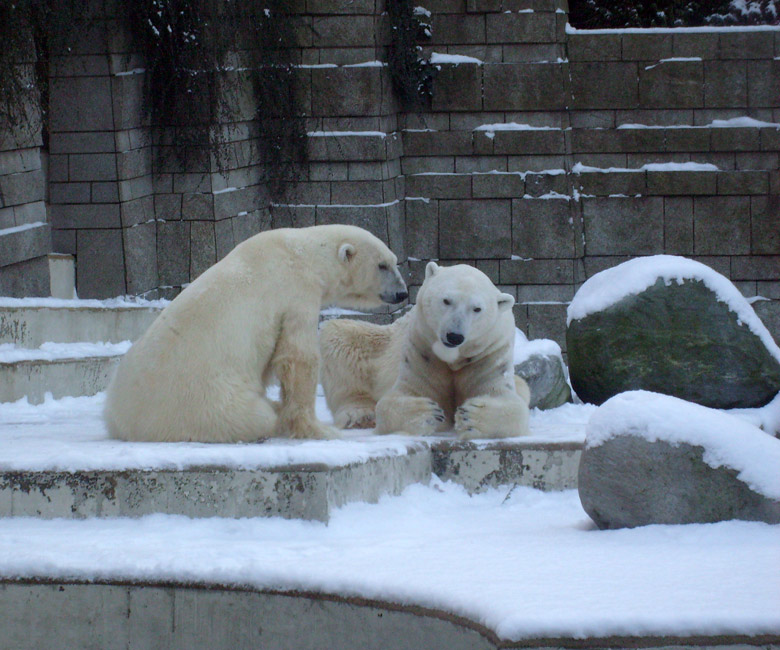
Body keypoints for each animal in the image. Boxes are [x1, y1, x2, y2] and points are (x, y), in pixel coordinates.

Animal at [105, 223, 408, 440]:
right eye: (382, 265)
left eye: (394, 261)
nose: (402, 293)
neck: (301, 252)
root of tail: (130, 426)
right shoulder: (296, 291)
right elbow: (297, 358)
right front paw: (317, 429)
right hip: (205, 402)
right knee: (253, 416)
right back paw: (274, 415)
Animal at [318, 258, 532, 436]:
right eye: (446, 300)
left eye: (477, 309)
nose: (454, 336)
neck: (452, 357)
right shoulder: (422, 351)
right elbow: (394, 400)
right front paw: (428, 412)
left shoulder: (489, 353)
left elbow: (511, 404)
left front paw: (470, 416)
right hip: (377, 341)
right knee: (337, 336)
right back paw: (361, 415)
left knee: (524, 387)